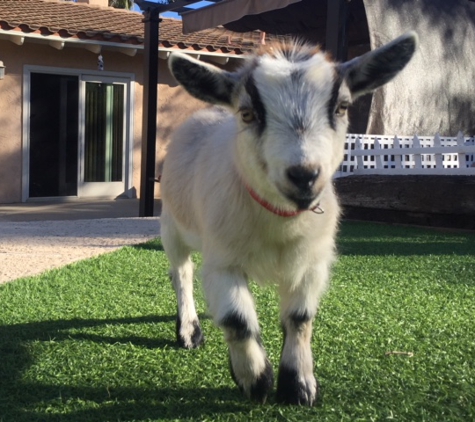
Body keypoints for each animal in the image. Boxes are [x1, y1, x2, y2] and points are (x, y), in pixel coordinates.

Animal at [160, 31, 416, 404]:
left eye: (341, 107)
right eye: (248, 113)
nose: (304, 175)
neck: (279, 223)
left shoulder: (312, 261)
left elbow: (300, 318)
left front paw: (299, 385)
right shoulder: (222, 261)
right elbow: (237, 320)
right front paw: (256, 381)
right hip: (171, 223)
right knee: (181, 273)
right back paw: (190, 331)